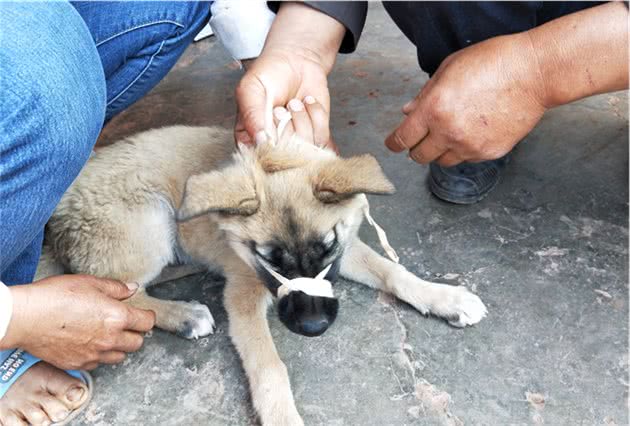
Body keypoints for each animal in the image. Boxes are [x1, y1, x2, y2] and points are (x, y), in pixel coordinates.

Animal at [39, 125, 488, 424]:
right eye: (269, 258)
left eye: (326, 248)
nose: (313, 328)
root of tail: (56, 217)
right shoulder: (242, 295)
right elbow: (270, 366)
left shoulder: (346, 252)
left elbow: (392, 270)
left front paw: (445, 297)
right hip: (149, 222)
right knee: (123, 294)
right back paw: (183, 314)